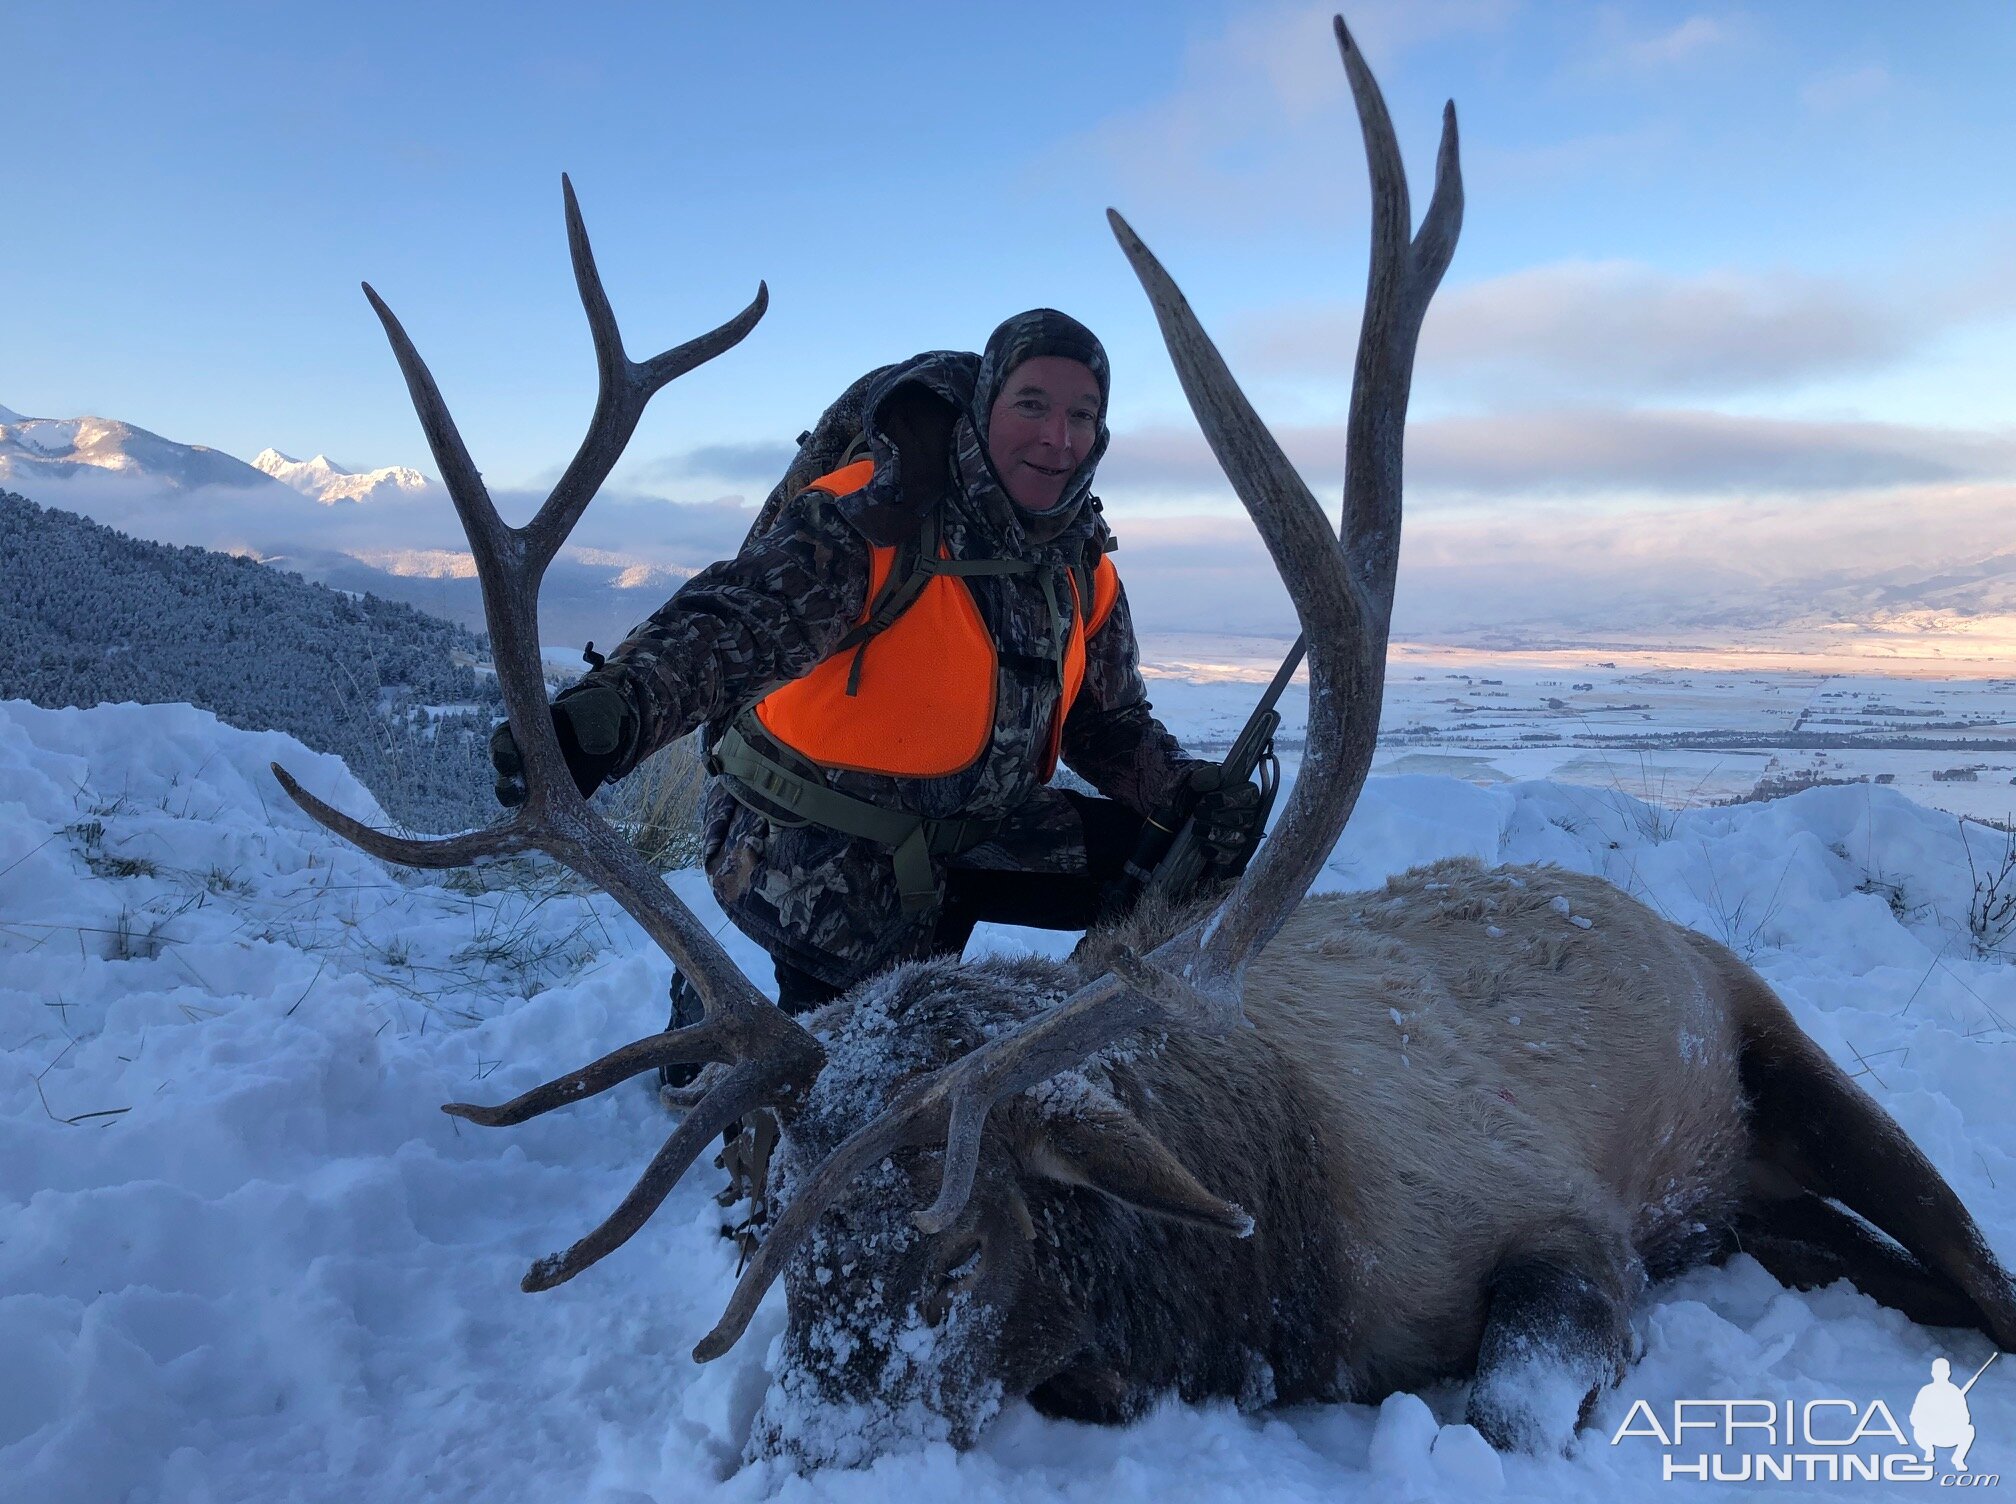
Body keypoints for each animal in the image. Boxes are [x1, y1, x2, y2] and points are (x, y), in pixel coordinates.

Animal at [272, 14, 2016, 1467]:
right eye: (784, 1257)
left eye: (958, 1246)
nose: (799, 1450)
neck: (1259, 1261)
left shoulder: (1559, 1218)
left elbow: (1511, 1408)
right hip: (1760, 1183)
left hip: (1773, 1039)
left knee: (1964, 1256)